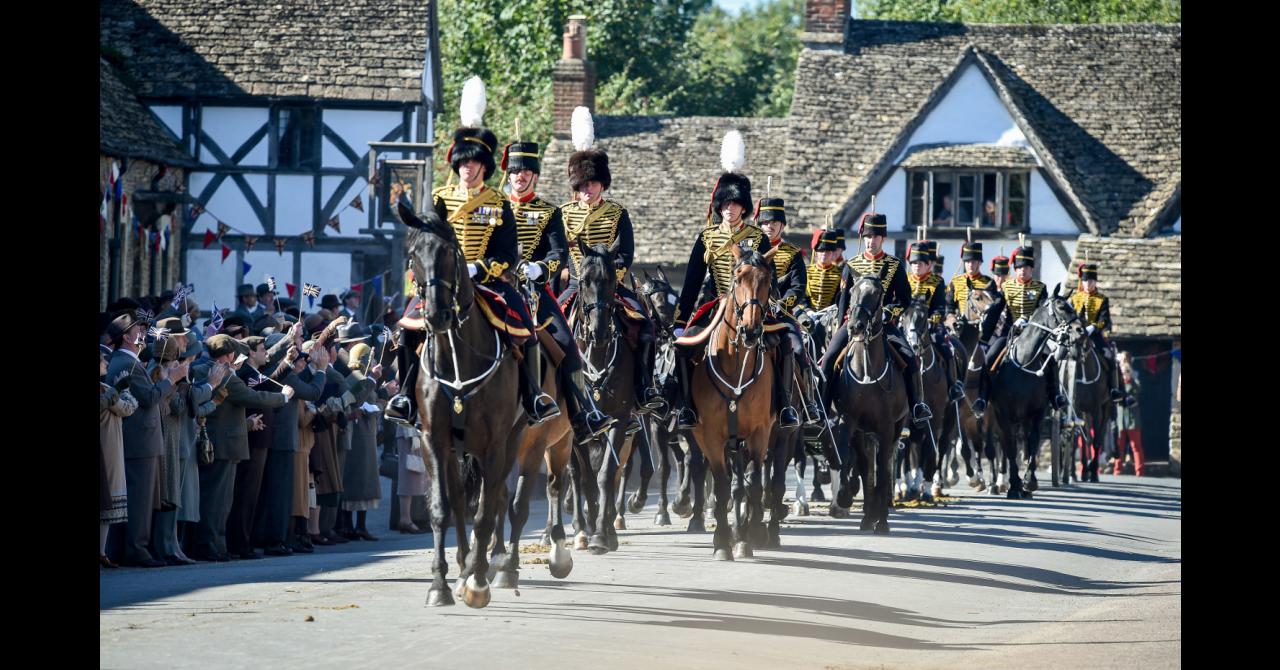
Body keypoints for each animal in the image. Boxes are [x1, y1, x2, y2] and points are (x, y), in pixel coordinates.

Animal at [394, 199, 524, 607]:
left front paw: (478, 582)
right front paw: (439, 585)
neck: (457, 354)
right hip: (458, 450)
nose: (436, 315)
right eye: (412, 255)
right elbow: (441, 508)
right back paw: (465, 564)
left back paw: (483, 568)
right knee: (459, 498)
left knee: (496, 499)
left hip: (512, 441)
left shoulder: (496, 444)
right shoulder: (433, 440)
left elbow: (486, 511)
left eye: (449, 251)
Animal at [829, 272, 911, 535]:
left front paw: (881, 521)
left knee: (886, 464)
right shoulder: (850, 422)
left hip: (895, 428)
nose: (855, 326)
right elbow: (855, 463)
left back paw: (880, 511)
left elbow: (882, 471)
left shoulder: (885, 426)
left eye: (877, 293)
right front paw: (846, 498)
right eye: (852, 290)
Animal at [983, 285, 1085, 499]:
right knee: (998, 444)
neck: (1024, 362)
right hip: (993, 416)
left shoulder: (1036, 413)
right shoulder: (1005, 414)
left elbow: (1033, 441)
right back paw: (997, 483)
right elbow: (1010, 447)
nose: (1080, 331)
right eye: (1062, 307)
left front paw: (1029, 482)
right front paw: (1014, 485)